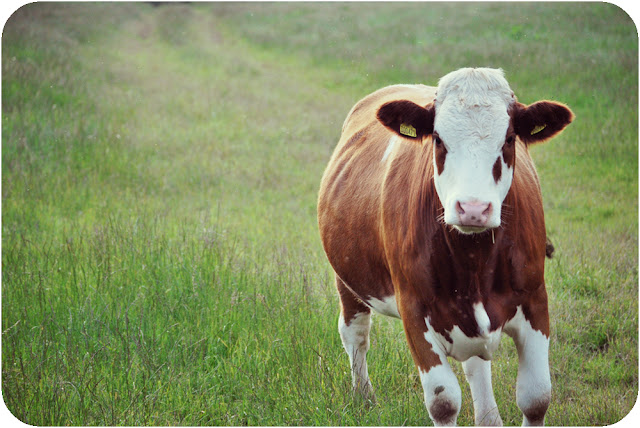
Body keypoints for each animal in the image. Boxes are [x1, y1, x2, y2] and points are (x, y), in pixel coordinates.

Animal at [318, 68, 572, 426]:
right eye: (438, 139)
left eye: (509, 139)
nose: (473, 208)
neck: (474, 260)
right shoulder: (414, 308)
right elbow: (443, 402)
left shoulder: (535, 298)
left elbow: (536, 398)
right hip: (348, 278)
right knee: (355, 334)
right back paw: (364, 396)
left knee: (476, 365)